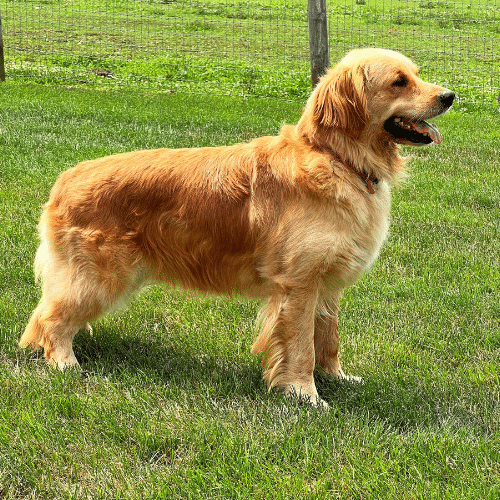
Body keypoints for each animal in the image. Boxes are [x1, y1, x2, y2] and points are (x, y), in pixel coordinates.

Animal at [21, 47, 454, 406]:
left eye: (416, 74)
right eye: (399, 81)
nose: (449, 96)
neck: (338, 159)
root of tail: (66, 178)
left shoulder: (327, 285)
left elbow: (328, 340)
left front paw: (336, 377)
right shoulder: (298, 284)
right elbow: (301, 347)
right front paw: (305, 395)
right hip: (100, 278)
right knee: (48, 319)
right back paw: (65, 363)